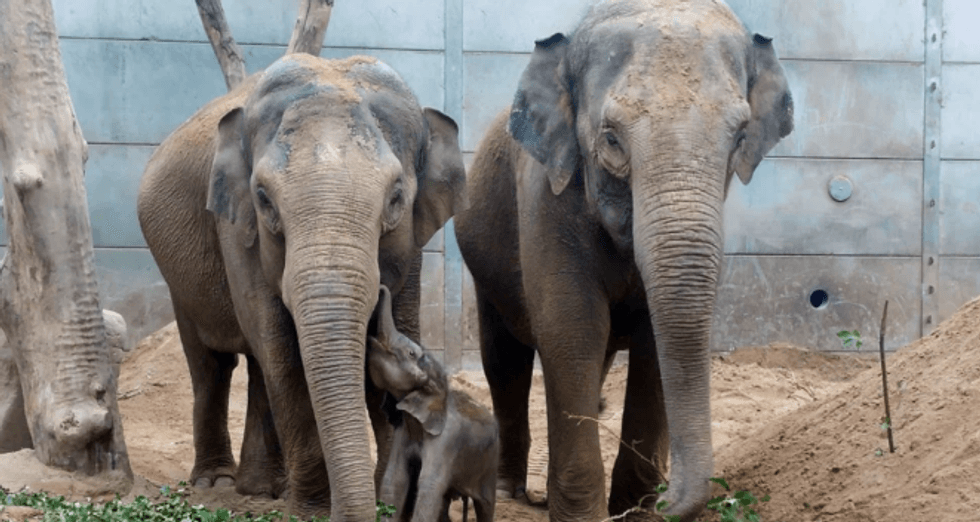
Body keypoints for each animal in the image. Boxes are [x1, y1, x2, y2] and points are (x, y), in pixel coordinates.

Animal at [137, 53, 466, 521]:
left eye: (397, 197)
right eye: (263, 197)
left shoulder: (413, 244)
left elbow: (395, 333)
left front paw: (387, 500)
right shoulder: (238, 231)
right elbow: (282, 352)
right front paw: (313, 509)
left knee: (257, 367)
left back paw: (263, 489)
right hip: (177, 279)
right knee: (214, 364)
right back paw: (218, 482)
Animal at [366, 286, 498, 522]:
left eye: (411, 353)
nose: (381, 288)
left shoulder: (447, 440)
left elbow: (429, 484)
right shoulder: (403, 431)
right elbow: (395, 479)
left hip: (490, 465)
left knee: (485, 505)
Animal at [453, 1, 794, 521]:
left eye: (739, 137)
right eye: (611, 139)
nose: (669, 497)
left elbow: (654, 340)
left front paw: (635, 508)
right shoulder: (546, 196)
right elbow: (573, 326)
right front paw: (585, 514)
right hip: (483, 261)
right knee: (504, 359)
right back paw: (511, 491)